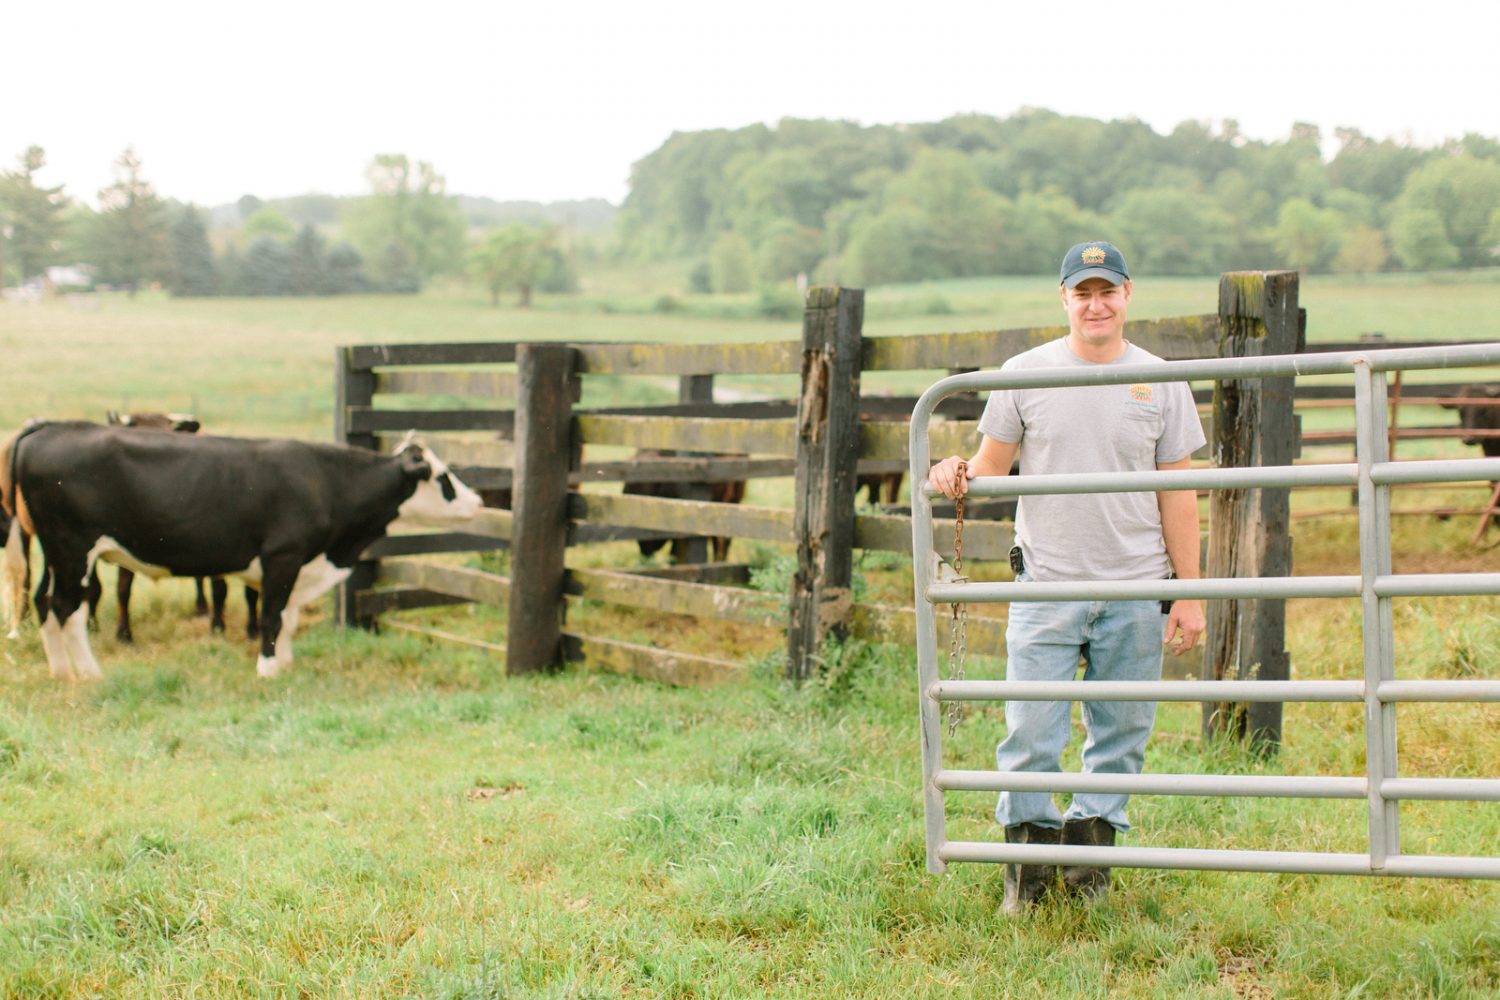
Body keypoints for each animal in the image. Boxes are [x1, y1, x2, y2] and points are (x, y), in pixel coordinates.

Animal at [1, 422, 480, 680]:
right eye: (443, 477)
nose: (477, 501)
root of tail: (48, 427)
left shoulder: (295, 565)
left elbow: (286, 618)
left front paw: (284, 662)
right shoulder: (283, 556)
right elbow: (271, 616)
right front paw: (267, 669)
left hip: (56, 551)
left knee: (44, 602)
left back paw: (61, 671)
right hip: (74, 549)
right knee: (67, 608)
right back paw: (90, 673)